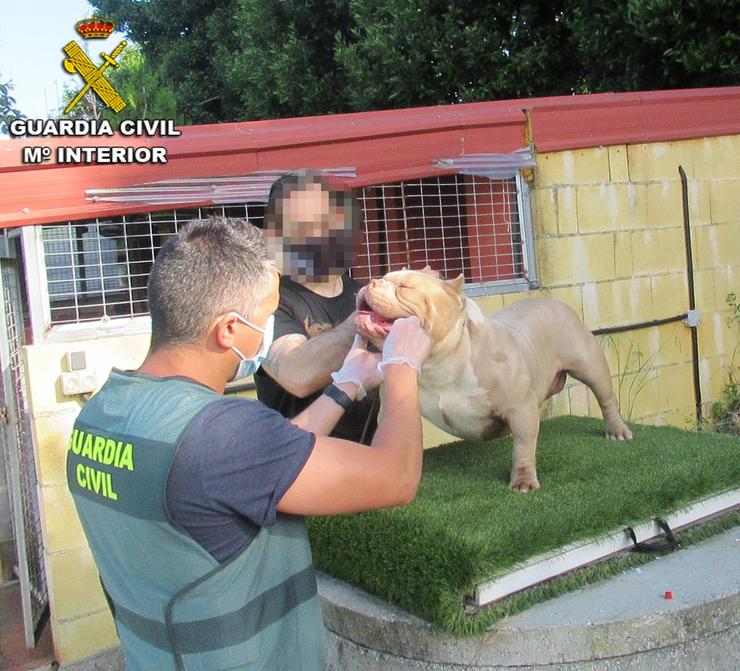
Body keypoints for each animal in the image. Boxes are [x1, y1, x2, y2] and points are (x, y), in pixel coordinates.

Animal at [356, 268, 632, 494]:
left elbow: (523, 447)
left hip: (589, 364)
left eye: (404, 287)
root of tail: (555, 302)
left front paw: (523, 480)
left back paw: (616, 431)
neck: (440, 361)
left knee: (606, 397)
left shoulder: (520, 408)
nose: (370, 281)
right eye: (382, 277)